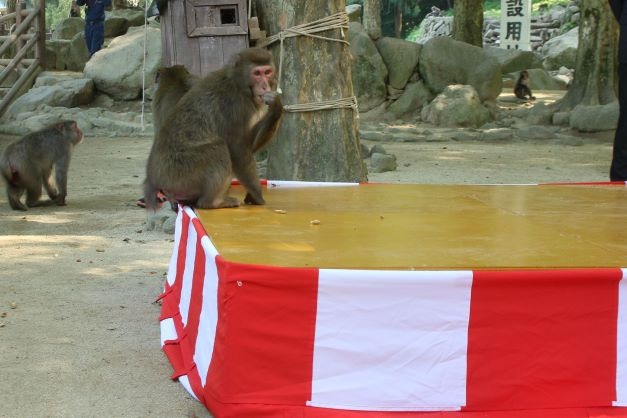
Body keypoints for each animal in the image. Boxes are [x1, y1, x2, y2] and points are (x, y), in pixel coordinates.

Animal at [144, 47, 284, 211]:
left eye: (267, 72)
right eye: (257, 73)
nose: (264, 86)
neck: (239, 84)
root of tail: (154, 178)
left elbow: (250, 144)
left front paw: (276, 105)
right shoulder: (235, 106)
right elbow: (238, 150)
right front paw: (257, 196)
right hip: (179, 174)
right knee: (218, 148)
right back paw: (212, 202)